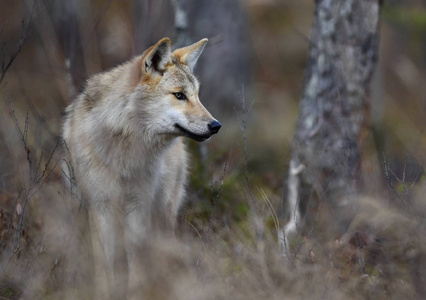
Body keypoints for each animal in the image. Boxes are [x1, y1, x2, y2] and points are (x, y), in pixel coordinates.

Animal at [62, 37, 221, 298]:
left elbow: (135, 262)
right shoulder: (100, 206)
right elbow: (104, 265)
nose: (216, 125)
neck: (125, 149)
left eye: (196, 95)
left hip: (164, 211)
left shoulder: (138, 205)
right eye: (179, 95)